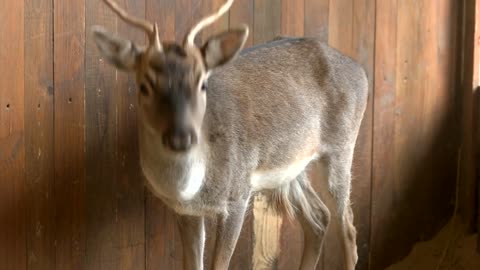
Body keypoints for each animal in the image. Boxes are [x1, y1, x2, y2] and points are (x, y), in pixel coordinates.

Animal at [93, 0, 368, 268]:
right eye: (143, 85)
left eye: (202, 82)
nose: (181, 138)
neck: (191, 189)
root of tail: (363, 72)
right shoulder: (185, 211)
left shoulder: (238, 194)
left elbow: (220, 264)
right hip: (291, 169)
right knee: (319, 218)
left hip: (342, 146)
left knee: (348, 229)